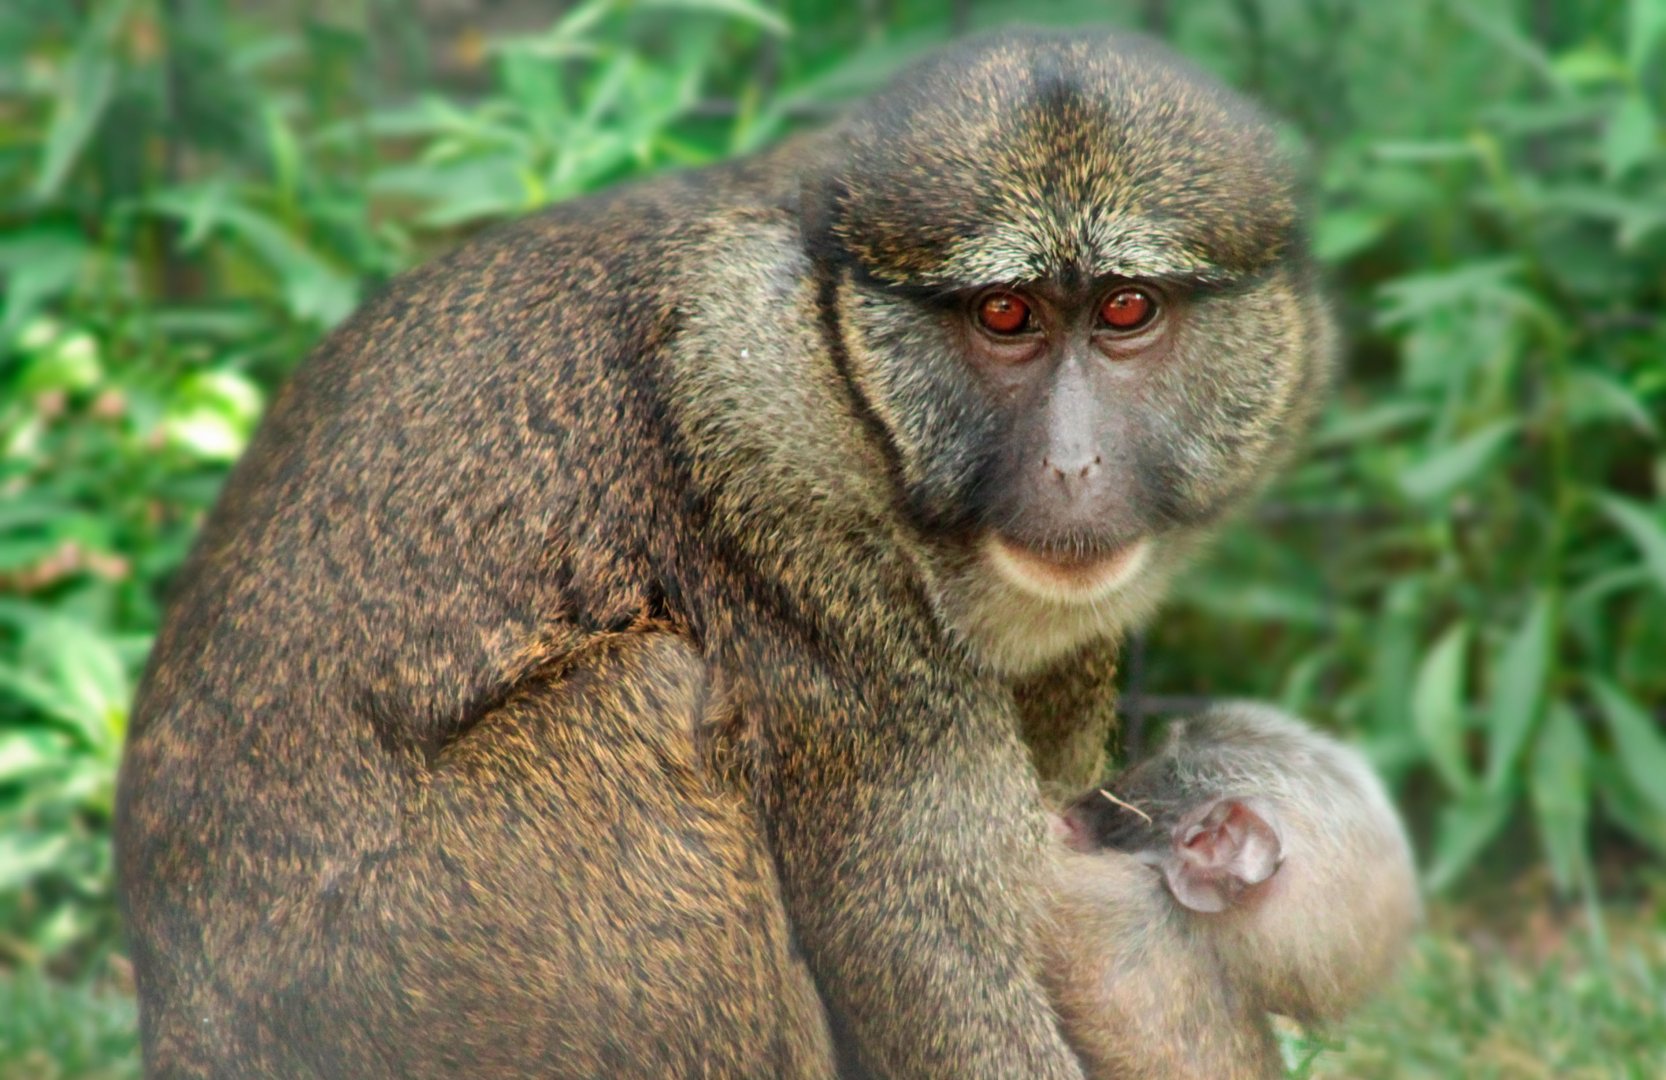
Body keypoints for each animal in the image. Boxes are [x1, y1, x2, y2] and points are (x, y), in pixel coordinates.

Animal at [115, 29, 1335, 1079]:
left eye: (1126, 310)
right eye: (1004, 317)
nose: (1076, 465)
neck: (825, 347)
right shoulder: (777, 492)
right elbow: (925, 953)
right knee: (638, 692)